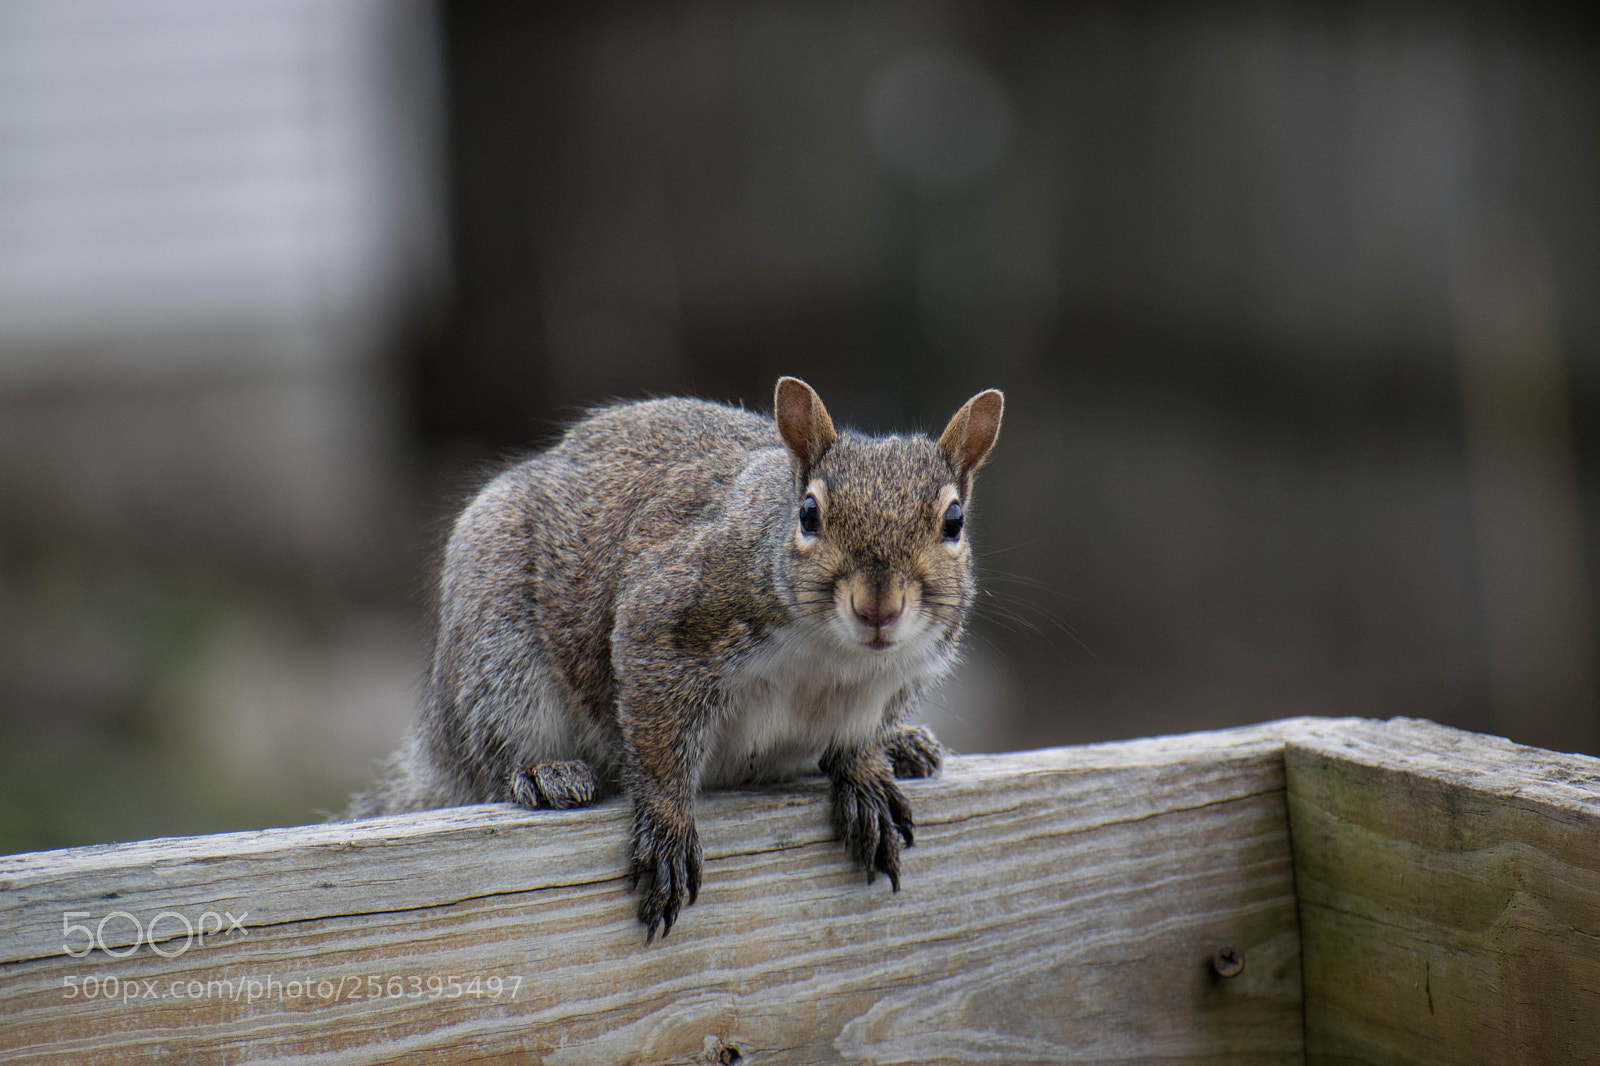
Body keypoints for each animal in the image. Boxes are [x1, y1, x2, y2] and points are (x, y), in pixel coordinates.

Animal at [350, 376, 1003, 940]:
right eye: (809, 514)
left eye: (954, 522)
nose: (878, 607)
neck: (835, 656)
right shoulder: (670, 623)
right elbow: (659, 742)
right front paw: (667, 825)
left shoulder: (899, 680)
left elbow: (862, 737)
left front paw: (867, 771)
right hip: (495, 646)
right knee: (493, 752)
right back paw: (542, 772)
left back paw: (906, 745)